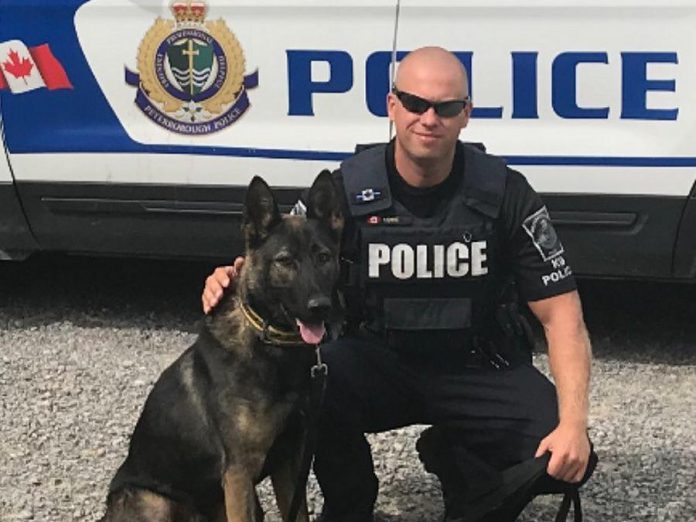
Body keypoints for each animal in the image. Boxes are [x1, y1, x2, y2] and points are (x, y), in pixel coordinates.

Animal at [99, 172, 344, 520]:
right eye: (285, 261)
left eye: (323, 257)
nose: (320, 307)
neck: (271, 347)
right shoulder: (239, 472)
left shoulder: (289, 462)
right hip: (156, 503)